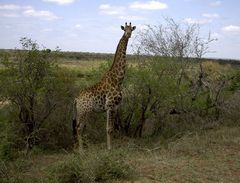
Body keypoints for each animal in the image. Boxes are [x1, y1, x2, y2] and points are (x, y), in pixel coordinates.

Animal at [72, 22, 136, 150]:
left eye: (131, 29)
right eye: (124, 29)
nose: (128, 34)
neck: (118, 79)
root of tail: (76, 99)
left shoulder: (115, 107)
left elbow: (111, 129)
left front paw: (110, 147)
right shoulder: (110, 106)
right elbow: (109, 129)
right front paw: (110, 149)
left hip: (82, 112)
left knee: (78, 127)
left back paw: (81, 149)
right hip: (84, 111)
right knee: (79, 128)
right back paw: (81, 151)